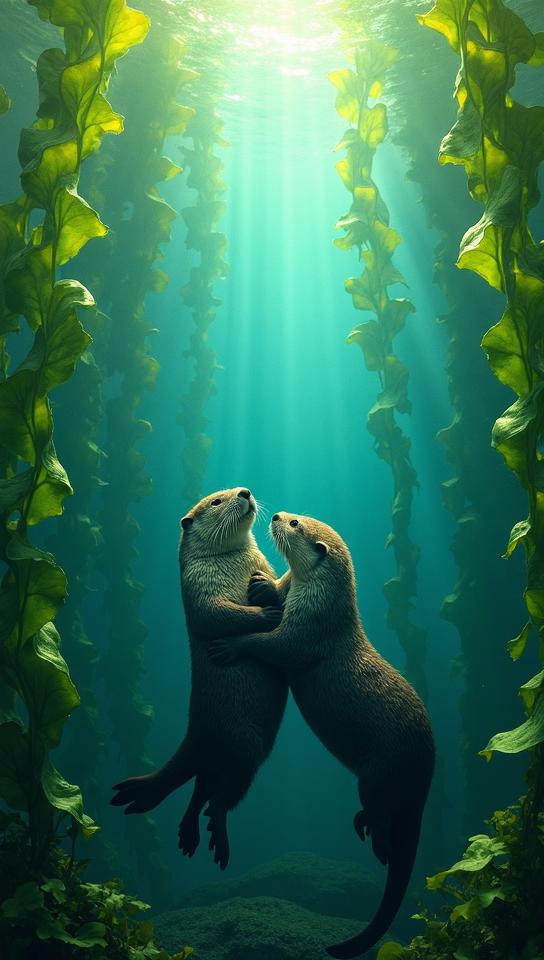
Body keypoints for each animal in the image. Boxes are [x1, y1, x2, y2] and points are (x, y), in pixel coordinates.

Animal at [111, 487, 288, 869]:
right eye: (217, 501)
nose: (245, 491)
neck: (232, 564)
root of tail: (194, 735)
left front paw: (266, 591)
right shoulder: (198, 588)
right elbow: (218, 615)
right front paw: (267, 614)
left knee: (201, 788)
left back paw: (187, 834)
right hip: (244, 744)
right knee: (216, 798)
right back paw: (215, 837)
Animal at [210, 511, 435, 955]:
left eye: (296, 523)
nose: (276, 515)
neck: (322, 602)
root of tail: (425, 776)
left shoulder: (305, 632)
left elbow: (273, 646)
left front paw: (233, 645)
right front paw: (264, 585)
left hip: (378, 771)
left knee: (384, 817)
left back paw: (375, 837)